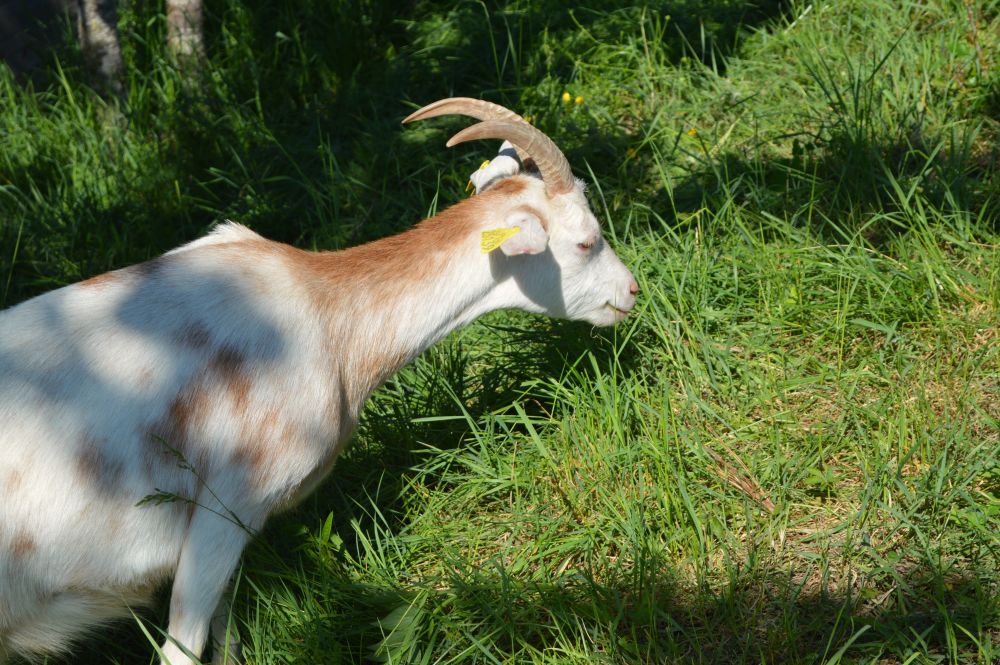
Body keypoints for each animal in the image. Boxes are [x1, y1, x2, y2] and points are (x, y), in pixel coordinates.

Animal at [0, 98, 638, 664]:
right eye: (586, 240)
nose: (630, 292)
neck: (324, 316)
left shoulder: (237, 525)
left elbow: (225, 634)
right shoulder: (226, 504)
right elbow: (182, 648)